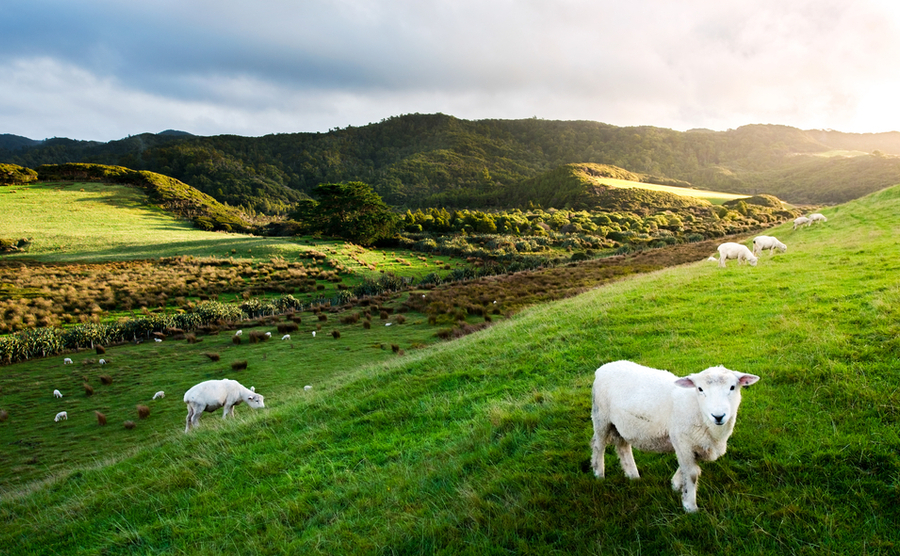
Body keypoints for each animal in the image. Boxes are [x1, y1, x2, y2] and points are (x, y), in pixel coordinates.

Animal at [592, 360, 760, 512]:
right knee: (598, 445)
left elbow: (687, 468)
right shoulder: (682, 439)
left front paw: (676, 484)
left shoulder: (695, 444)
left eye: (732, 387)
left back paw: (633, 476)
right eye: (700, 389)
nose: (718, 416)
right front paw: (690, 506)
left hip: (622, 424)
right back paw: (599, 474)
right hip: (601, 417)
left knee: (623, 447)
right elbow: (692, 473)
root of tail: (604, 367)